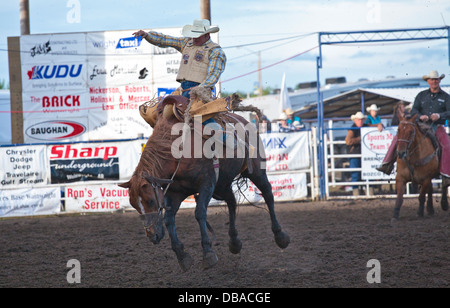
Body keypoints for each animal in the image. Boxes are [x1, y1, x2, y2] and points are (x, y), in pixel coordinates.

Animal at [119, 95, 288, 270]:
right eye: (133, 205)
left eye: (150, 200)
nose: (152, 236)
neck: (177, 150)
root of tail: (245, 121)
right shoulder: (176, 193)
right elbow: (168, 219)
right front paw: (182, 256)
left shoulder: (207, 183)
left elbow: (199, 213)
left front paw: (208, 253)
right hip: (223, 183)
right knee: (232, 202)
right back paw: (234, 242)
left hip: (256, 171)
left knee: (268, 194)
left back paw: (280, 236)